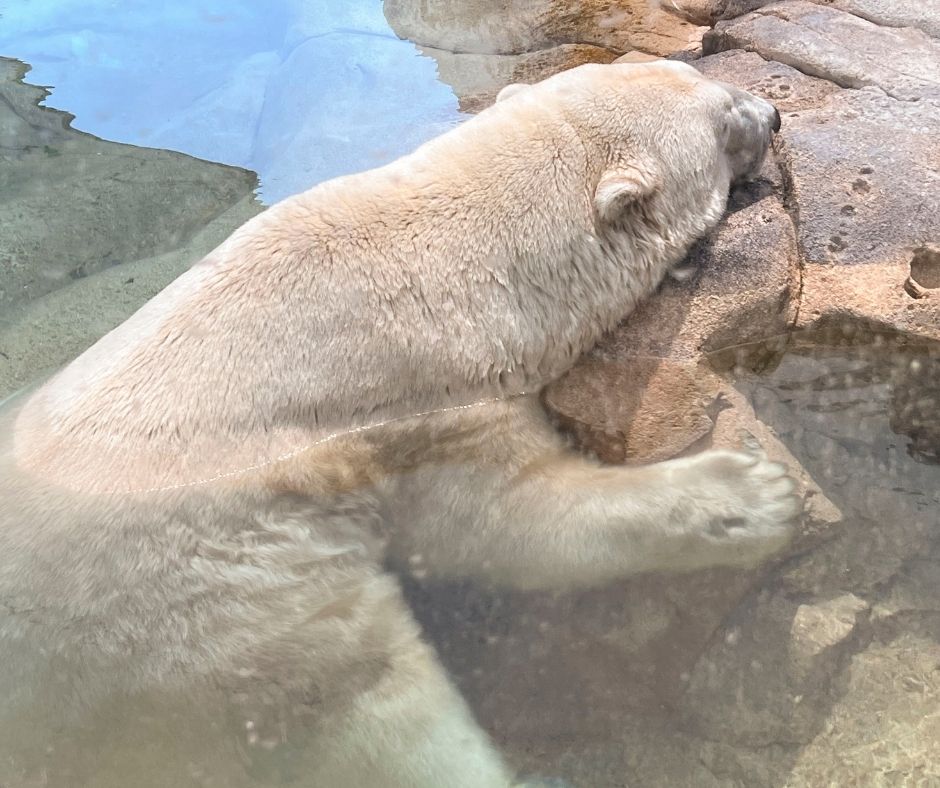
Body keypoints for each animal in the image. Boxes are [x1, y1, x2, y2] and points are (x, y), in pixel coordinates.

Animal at [0, 61, 793, 787]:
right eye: (724, 117)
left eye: (702, 76)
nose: (774, 114)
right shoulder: (418, 407)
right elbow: (511, 522)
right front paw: (755, 493)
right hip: (201, 623)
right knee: (370, 701)